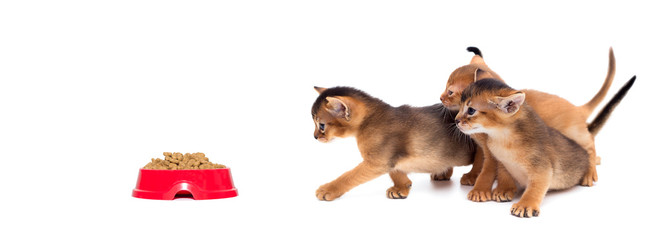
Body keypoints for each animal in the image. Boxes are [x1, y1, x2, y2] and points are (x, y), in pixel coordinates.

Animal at [312, 86, 476, 201]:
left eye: (321, 125)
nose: (314, 137)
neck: (369, 120)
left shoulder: (377, 162)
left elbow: (349, 176)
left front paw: (329, 189)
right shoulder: (389, 158)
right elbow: (396, 171)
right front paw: (402, 187)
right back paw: (442, 173)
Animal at [456, 79, 592, 218]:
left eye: (471, 110)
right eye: (460, 106)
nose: (456, 120)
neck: (502, 138)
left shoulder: (542, 169)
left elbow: (535, 188)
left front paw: (525, 205)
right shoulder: (501, 161)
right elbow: (504, 175)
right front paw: (503, 189)